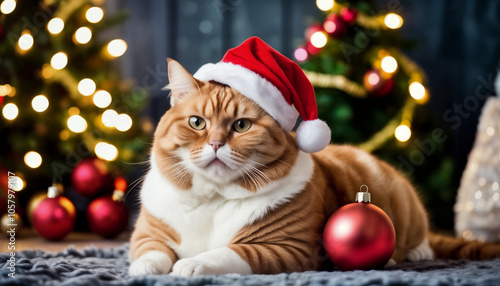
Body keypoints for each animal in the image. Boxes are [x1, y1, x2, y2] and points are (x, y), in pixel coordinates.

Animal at [129, 59, 500, 276]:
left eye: (241, 126)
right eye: (197, 122)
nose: (217, 144)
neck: (215, 198)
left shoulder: (287, 248)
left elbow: (229, 253)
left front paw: (193, 263)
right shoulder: (148, 232)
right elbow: (149, 250)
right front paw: (146, 268)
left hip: (406, 206)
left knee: (422, 236)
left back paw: (415, 252)